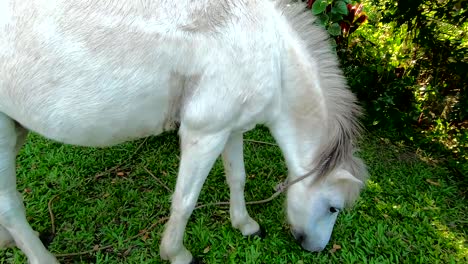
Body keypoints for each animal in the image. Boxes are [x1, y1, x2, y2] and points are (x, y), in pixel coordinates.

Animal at [0, 0, 366, 262]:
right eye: (333, 208)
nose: (315, 248)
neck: (269, 50)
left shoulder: (230, 129)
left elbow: (238, 178)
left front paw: (244, 223)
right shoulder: (204, 134)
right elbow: (185, 200)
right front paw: (176, 253)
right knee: (11, 207)